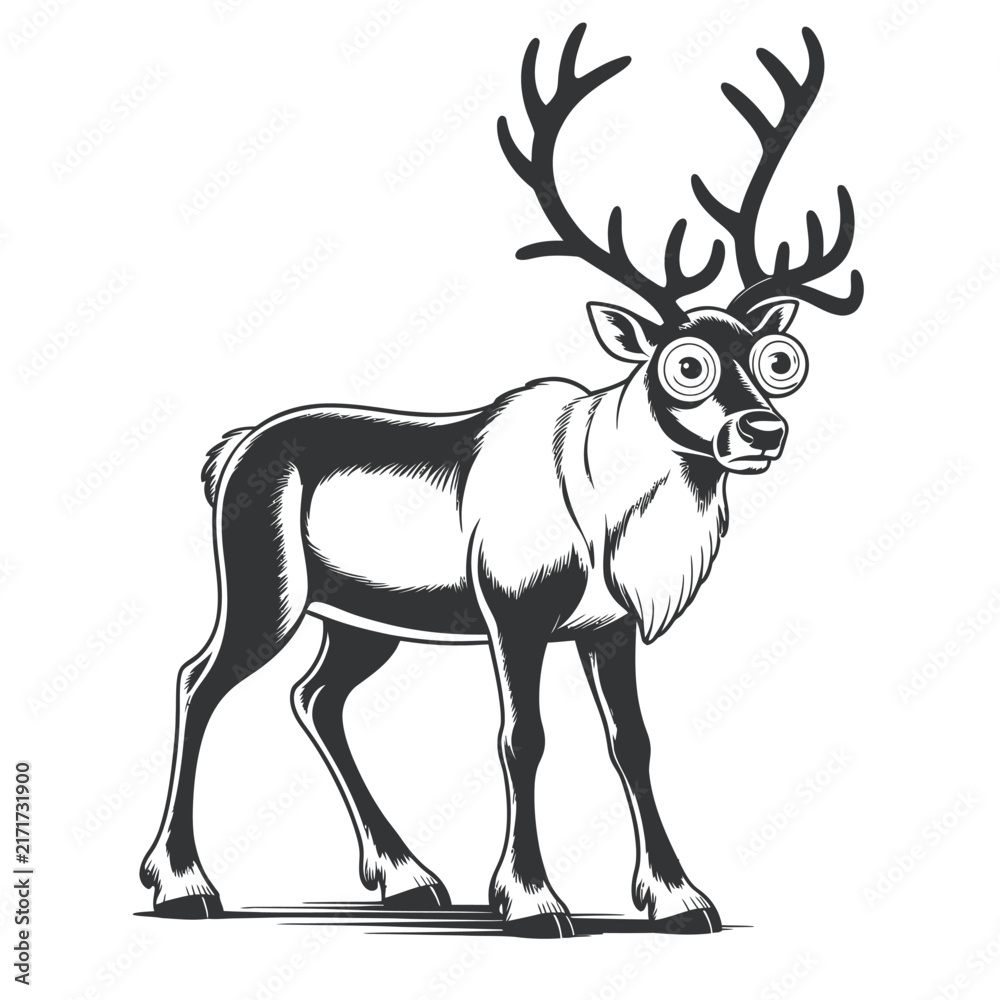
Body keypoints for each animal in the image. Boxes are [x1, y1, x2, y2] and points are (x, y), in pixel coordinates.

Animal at [140, 23, 862, 937]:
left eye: (775, 359)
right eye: (685, 364)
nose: (761, 430)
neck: (600, 509)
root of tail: (228, 452)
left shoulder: (606, 626)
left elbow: (632, 741)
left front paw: (677, 896)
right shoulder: (513, 610)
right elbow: (523, 738)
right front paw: (531, 898)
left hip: (361, 618)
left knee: (314, 697)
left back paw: (408, 876)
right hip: (265, 590)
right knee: (198, 680)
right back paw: (183, 882)